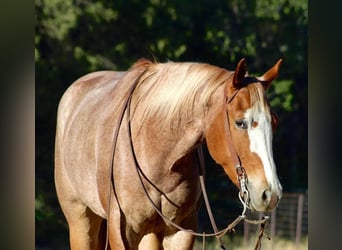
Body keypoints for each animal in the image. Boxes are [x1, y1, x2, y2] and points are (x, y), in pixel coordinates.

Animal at [54, 57, 284, 249]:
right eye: (240, 122)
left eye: (274, 122)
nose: (270, 193)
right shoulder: (121, 232)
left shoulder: (180, 231)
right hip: (80, 220)